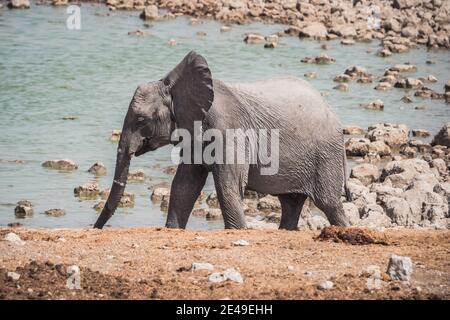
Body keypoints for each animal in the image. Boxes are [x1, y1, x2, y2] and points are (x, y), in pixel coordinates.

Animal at [93, 50, 350, 230]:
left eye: (140, 119)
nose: (95, 227)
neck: (176, 86)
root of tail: (334, 115)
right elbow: (184, 185)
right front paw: (173, 229)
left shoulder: (230, 129)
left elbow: (228, 185)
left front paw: (238, 231)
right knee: (291, 203)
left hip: (326, 155)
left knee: (329, 204)